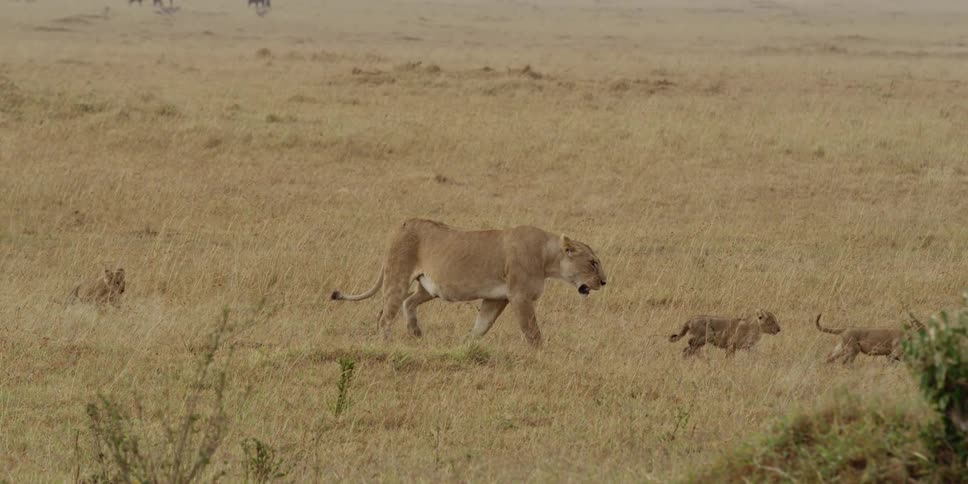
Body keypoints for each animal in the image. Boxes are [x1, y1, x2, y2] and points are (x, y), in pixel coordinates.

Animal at [330, 219, 607, 347]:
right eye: (593, 262)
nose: (604, 282)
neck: (547, 258)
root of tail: (401, 224)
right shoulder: (519, 297)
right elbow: (532, 331)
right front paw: (541, 354)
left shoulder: (496, 298)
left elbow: (482, 325)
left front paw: (465, 345)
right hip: (398, 277)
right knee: (385, 316)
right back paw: (386, 344)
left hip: (429, 287)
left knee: (409, 302)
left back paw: (416, 333)